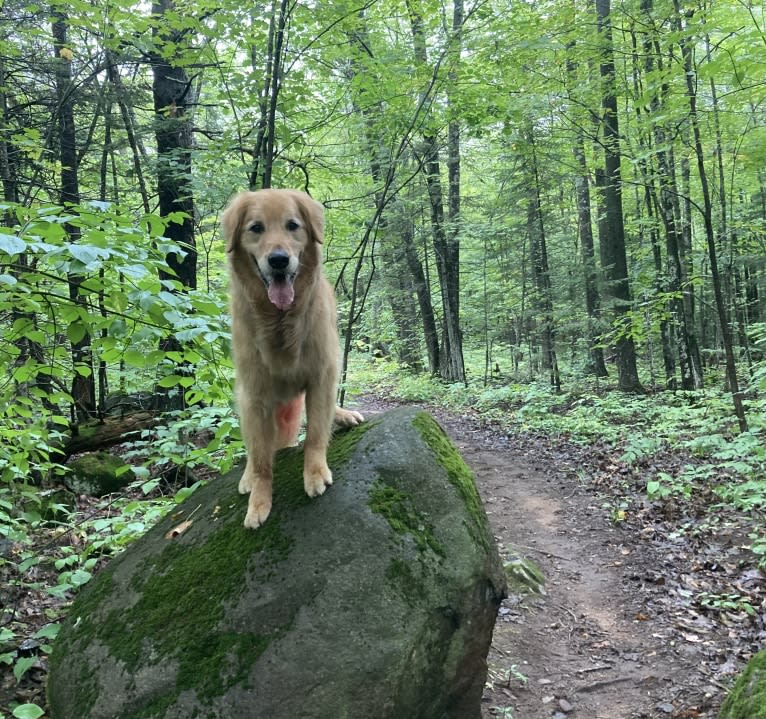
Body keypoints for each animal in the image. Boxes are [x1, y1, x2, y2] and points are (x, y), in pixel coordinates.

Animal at [222, 190, 366, 528]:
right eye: (256, 228)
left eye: (292, 225)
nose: (278, 260)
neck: (279, 320)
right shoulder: (256, 395)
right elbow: (262, 459)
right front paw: (259, 501)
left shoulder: (322, 374)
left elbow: (315, 434)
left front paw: (314, 473)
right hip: (244, 399)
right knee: (253, 449)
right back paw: (247, 476)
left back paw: (343, 415)